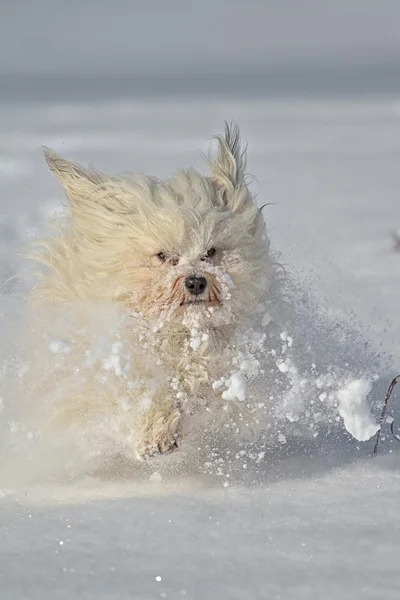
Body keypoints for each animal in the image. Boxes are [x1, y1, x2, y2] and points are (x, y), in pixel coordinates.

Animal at [25, 124, 276, 462]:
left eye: (210, 251)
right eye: (162, 255)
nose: (196, 282)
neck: (176, 333)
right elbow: (142, 391)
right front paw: (155, 434)